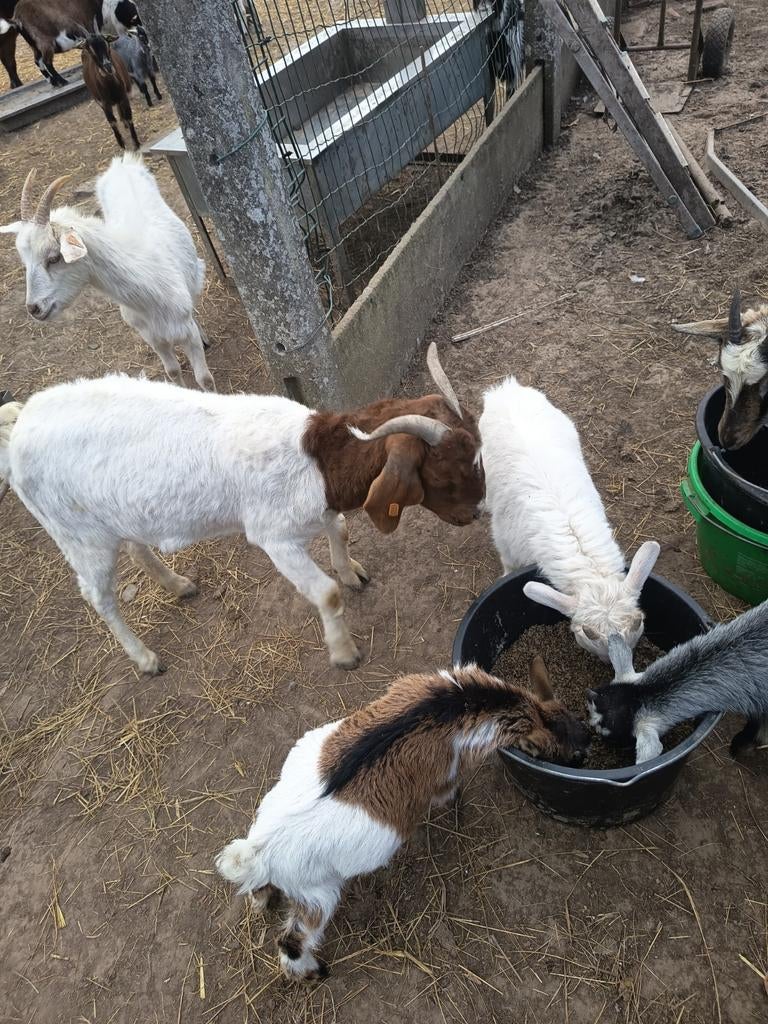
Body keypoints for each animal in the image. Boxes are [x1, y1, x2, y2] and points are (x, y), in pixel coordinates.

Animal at [0, 0, 139, 88]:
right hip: (45, 42)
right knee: (46, 62)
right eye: (133, 16)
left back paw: (54, 82)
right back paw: (62, 82)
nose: (139, 31)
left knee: (38, 62)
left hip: (34, 45)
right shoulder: (89, 26)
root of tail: (17, 18)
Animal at [0, 155, 214, 390]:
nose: (34, 308)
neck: (148, 286)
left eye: (54, 258)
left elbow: (204, 378)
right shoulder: (152, 337)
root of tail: (123, 162)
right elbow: (173, 371)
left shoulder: (186, 333)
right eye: (25, 261)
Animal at [0, 344, 484, 674]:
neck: (317, 461)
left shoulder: (318, 510)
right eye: (446, 475)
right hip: (78, 535)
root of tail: (22, 424)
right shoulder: (275, 537)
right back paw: (145, 658)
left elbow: (342, 529)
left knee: (137, 548)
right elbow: (326, 593)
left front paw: (352, 573)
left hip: (117, 516)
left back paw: (178, 585)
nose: (477, 514)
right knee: (98, 596)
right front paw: (344, 652)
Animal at [215, 660, 590, 981]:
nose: (586, 752)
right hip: (317, 893)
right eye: (570, 753)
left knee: (260, 889)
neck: (449, 709)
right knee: (293, 941)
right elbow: (446, 791)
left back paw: (262, 901)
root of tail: (262, 851)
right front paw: (456, 801)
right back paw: (314, 972)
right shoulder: (443, 771)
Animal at [479, 375, 660, 663]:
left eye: (639, 621)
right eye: (586, 633)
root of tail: (506, 389)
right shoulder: (505, 542)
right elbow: (507, 565)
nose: (614, 664)